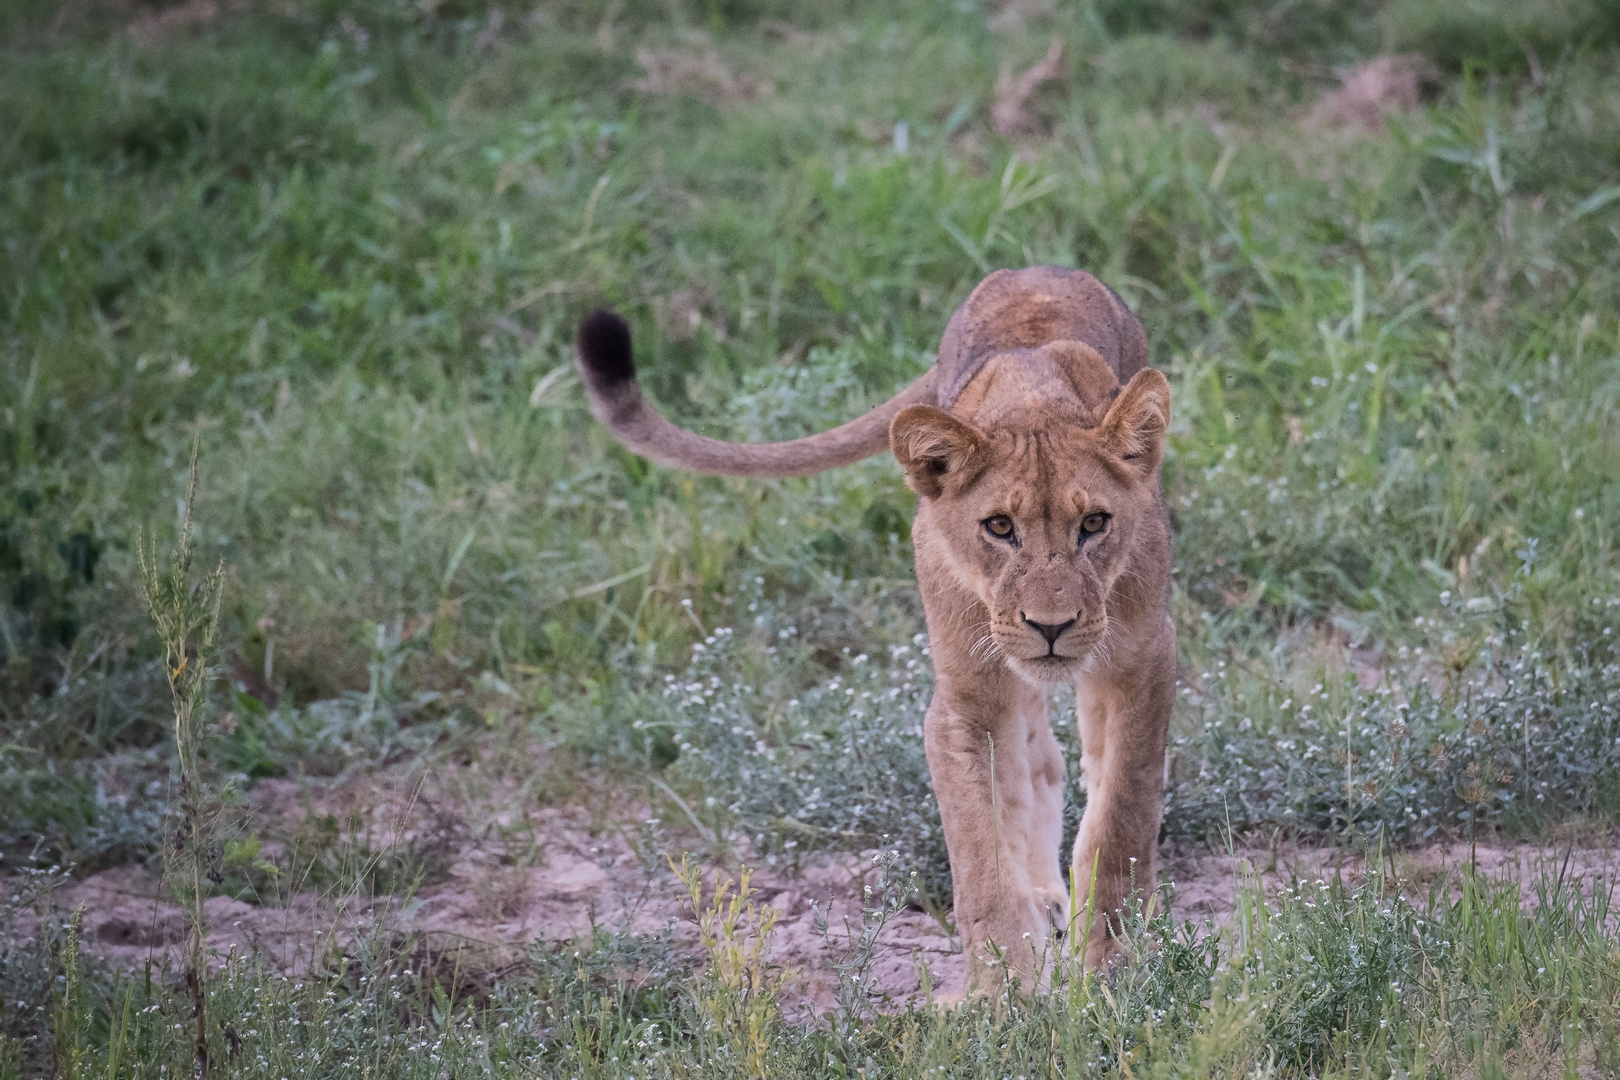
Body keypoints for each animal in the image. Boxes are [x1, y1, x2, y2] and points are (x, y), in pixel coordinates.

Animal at [576, 265, 1172, 990]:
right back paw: (1043, 902)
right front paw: (1004, 991)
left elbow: (1122, 819)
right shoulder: (967, 698)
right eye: (1000, 527)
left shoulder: (1142, 662)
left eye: (1094, 524)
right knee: (1037, 762)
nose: (1050, 626)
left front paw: (1113, 969)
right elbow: (979, 858)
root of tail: (1033, 269)